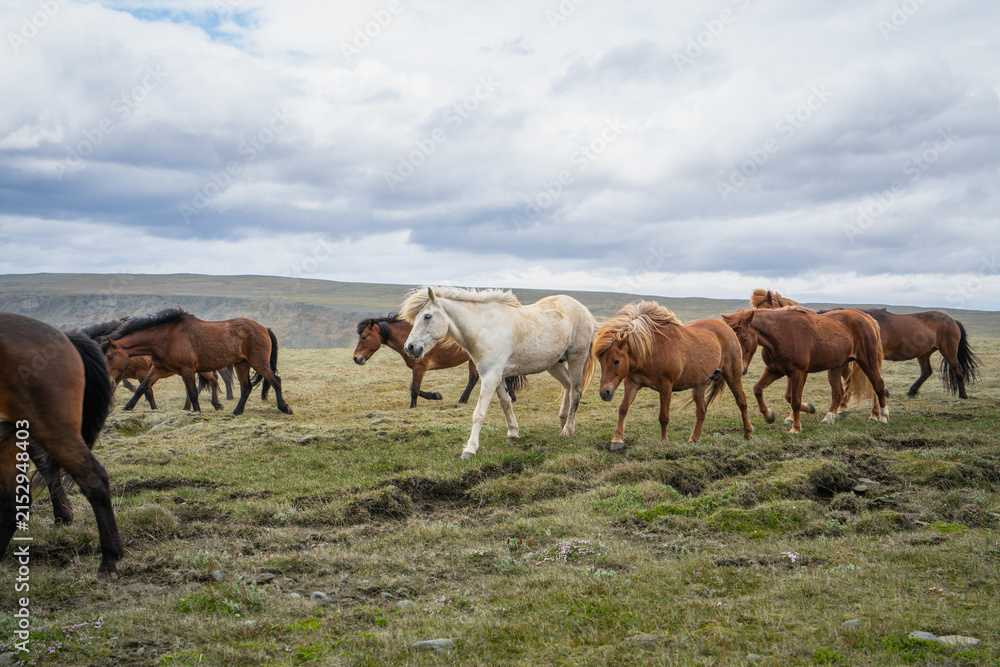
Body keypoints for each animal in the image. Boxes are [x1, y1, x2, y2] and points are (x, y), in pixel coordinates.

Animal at [101, 307, 292, 416]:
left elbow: (192, 393)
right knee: (246, 388)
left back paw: (284, 408)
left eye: (110, 357)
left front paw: (197, 412)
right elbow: (142, 388)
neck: (166, 338)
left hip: (258, 362)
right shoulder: (157, 370)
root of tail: (264, 328)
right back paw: (237, 412)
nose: (109, 382)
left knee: (275, 380)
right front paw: (127, 408)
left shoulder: (187, 370)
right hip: (241, 364)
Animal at [354, 313, 524, 408]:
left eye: (364, 337)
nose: (356, 358)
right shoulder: (417, 370)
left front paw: (414, 406)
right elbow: (413, 389)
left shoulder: (419, 368)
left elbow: (414, 390)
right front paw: (435, 395)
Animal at [401, 287, 596, 459]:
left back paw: (568, 430)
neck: (483, 329)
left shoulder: (490, 376)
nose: (410, 347)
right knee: (568, 386)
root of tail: (582, 309)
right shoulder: (498, 376)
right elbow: (506, 404)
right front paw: (513, 434)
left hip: (576, 358)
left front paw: (470, 450)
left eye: (427, 316)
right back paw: (563, 421)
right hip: (554, 364)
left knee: (576, 391)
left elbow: (479, 413)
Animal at [594, 301, 753, 448]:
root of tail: (728, 329)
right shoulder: (632, 384)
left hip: (733, 375)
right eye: (600, 361)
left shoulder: (665, 386)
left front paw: (664, 440)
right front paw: (617, 440)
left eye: (616, 361)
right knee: (701, 411)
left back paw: (748, 433)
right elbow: (623, 409)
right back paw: (693, 439)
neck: (650, 350)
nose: (604, 392)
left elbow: (663, 416)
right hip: (699, 384)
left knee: (742, 401)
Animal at [721, 307, 888, 432]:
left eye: (744, 338)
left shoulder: (797, 373)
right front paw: (768, 415)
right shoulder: (775, 370)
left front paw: (796, 427)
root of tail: (866, 318)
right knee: (838, 393)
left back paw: (883, 416)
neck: (781, 333)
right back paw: (829, 418)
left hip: (868, 362)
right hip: (836, 368)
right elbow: (757, 389)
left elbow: (795, 401)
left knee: (878, 385)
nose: (740, 368)